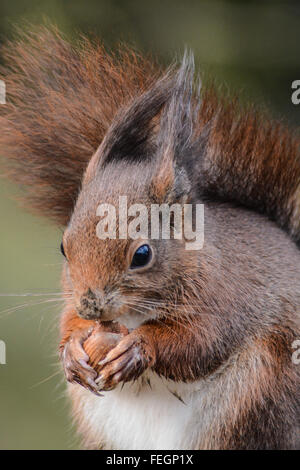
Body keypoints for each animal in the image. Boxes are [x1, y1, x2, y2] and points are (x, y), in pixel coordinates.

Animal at [0, 26, 298, 452]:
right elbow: (67, 320)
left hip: (257, 396)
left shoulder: (227, 296)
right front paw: (72, 350)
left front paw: (140, 348)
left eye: (142, 254)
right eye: (63, 246)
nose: (91, 305)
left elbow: (201, 342)